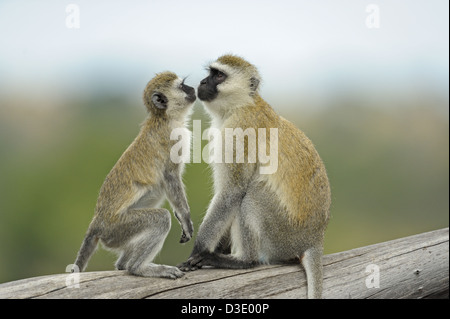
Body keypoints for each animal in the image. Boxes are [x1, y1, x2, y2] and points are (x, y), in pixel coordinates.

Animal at [72, 72, 195, 280]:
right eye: (182, 86)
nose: (193, 89)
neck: (165, 118)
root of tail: (96, 223)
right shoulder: (173, 140)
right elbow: (170, 178)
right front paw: (185, 218)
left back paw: (125, 264)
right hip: (118, 228)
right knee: (160, 218)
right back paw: (137, 268)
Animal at [178, 54, 330, 298]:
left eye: (218, 75)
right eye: (210, 73)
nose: (202, 82)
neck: (241, 105)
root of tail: (315, 238)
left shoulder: (238, 133)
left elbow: (232, 193)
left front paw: (198, 251)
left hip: (283, 234)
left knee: (252, 195)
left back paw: (244, 261)